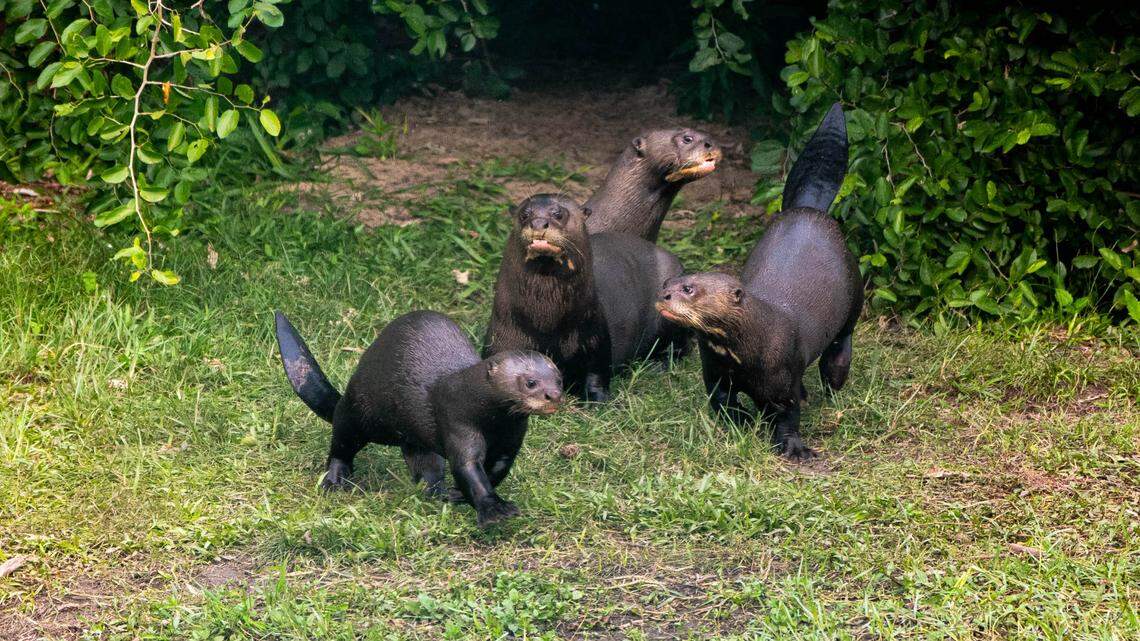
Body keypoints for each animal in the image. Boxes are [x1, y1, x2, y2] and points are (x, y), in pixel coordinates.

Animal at [275, 310, 562, 527]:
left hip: (412, 437)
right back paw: (335, 478)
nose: (554, 395)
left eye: (559, 378)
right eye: (530, 382)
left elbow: (497, 469)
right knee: (342, 440)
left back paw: (437, 491)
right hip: (360, 411)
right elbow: (468, 467)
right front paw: (493, 509)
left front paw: (459, 494)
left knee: (426, 465)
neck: (490, 421)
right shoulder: (457, 421)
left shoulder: (510, 440)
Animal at [484, 194, 687, 403]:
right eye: (525, 214)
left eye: (558, 213)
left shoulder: (593, 337)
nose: (539, 223)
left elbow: (596, 374)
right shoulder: (501, 341)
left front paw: (599, 401)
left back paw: (658, 365)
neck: (546, 324)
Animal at [656, 103, 862, 460]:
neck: (750, 351)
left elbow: (789, 415)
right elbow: (723, 404)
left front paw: (794, 448)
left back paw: (835, 376)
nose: (664, 296)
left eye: (688, 288)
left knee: (842, 342)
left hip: (855, 288)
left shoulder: (782, 378)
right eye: (667, 282)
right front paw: (744, 420)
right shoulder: (715, 373)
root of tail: (811, 209)